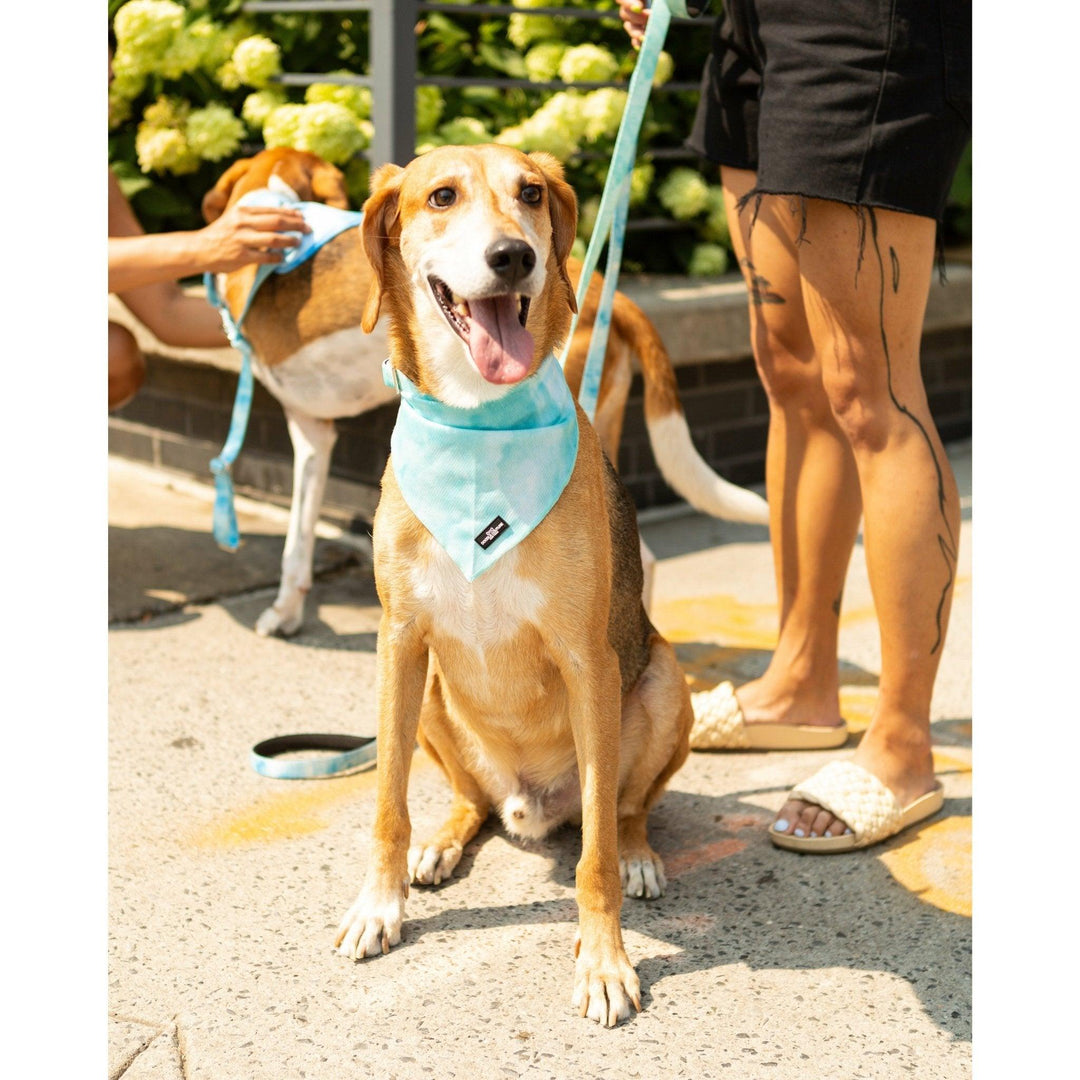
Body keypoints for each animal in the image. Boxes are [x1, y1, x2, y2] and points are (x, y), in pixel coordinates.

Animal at [332, 147, 695, 1023]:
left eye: (531, 193)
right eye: (441, 196)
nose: (514, 257)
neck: (476, 425)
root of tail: (530, 806)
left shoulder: (588, 660)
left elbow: (595, 854)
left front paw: (604, 961)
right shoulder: (400, 644)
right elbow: (386, 805)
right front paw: (380, 905)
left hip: (664, 682)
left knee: (625, 810)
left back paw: (639, 855)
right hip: (432, 692)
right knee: (473, 801)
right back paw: (444, 839)